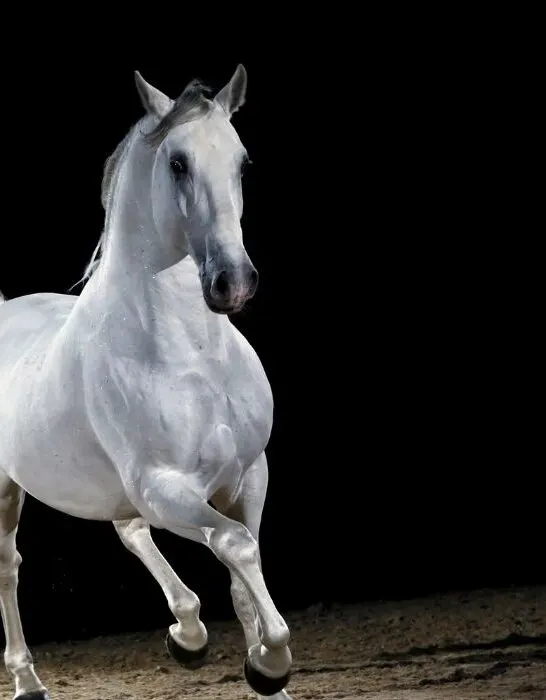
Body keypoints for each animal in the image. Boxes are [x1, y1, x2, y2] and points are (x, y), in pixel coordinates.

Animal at [0, 66, 294, 700]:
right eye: (177, 163)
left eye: (242, 162)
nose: (233, 282)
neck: (193, 358)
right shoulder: (163, 486)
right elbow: (236, 544)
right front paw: (270, 664)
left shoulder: (247, 473)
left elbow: (244, 560)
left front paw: (262, 668)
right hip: (7, 488)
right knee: (8, 567)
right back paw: (27, 679)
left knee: (129, 531)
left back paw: (187, 633)